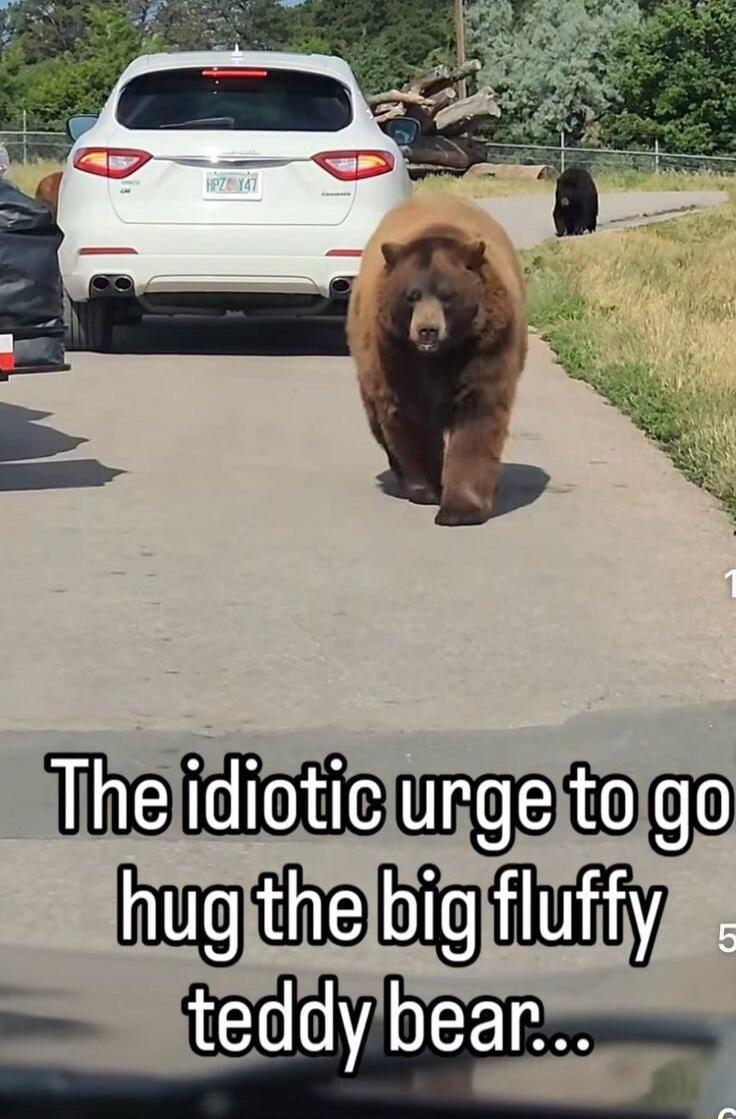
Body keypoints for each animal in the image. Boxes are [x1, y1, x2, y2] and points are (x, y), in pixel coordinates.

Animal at [347, 194, 527, 527]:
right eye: (412, 295)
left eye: (447, 295)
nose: (427, 330)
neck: (440, 355)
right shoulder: (394, 350)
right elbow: (407, 410)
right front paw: (427, 489)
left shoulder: (486, 345)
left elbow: (479, 414)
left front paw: (461, 508)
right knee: (378, 418)